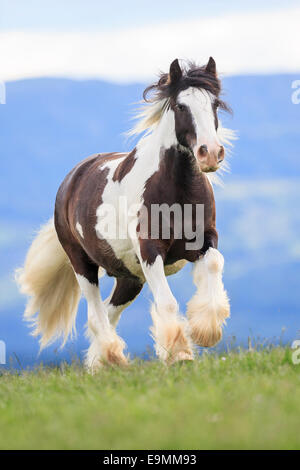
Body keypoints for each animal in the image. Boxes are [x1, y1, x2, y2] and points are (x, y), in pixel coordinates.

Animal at [17, 57, 234, 370]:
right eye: (181, 106)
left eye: (215, 104)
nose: (211, 153)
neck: (177, 192)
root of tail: (72, 178)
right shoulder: (150, 250)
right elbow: (167, 302)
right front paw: (179, 353)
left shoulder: (205, 239)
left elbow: (215, 264)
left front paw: (206, 331)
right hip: (82, 264)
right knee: (95, 315)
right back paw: (113, 359)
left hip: (129, 277)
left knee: (108, 312)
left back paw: (100, 363)